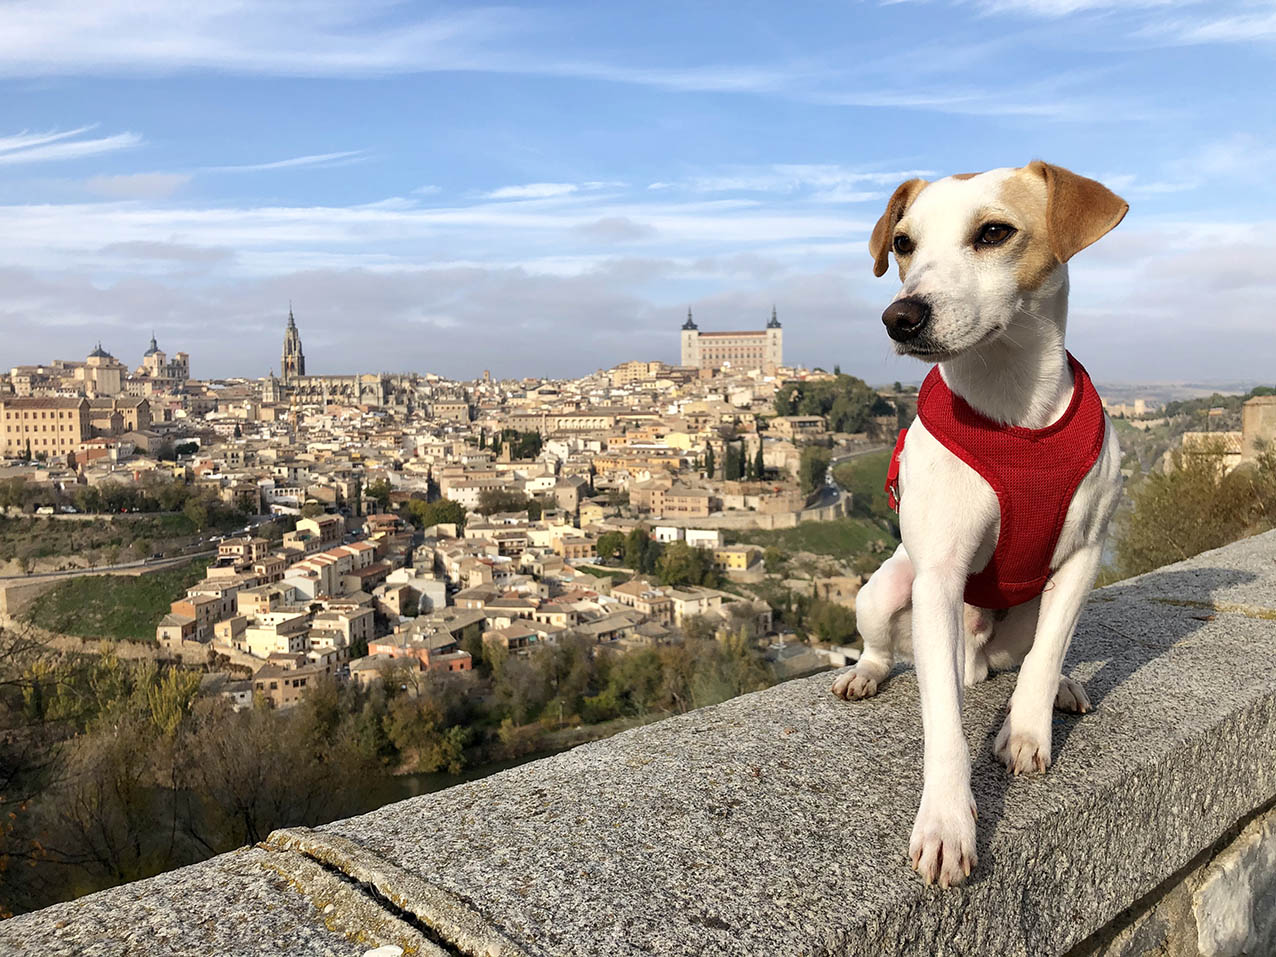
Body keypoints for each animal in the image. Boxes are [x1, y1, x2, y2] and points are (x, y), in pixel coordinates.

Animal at [837, 163, 1127, 893]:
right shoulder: (939, 574)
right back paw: (866, 673)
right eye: (904, 243)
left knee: (1033, 652)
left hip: (1028, 608)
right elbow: (942, 717)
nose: (900, 315)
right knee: (885, 647)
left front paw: (1026, 731)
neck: (1012, 406)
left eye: (994, 232)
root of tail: (976, 658)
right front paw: (946, 821)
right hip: (886, 590)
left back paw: (1060, 686)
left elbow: (1049, 651)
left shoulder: (1084, 556)